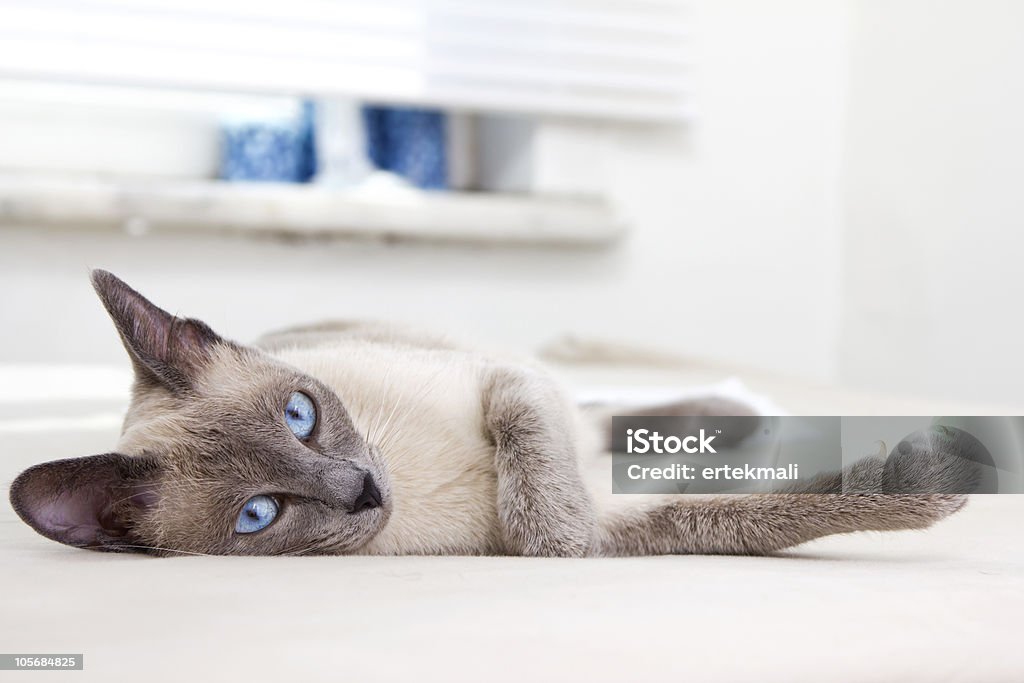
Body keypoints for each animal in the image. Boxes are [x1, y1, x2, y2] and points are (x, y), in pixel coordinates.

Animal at [8, 270, 970, 557]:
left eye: (299, 413)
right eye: (258, 514)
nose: (362, 490)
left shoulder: (503, 381)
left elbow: (535, 450)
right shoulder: (626, 526)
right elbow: (743, 514)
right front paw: (555, 533)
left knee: (603, 412)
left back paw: (741, 406)